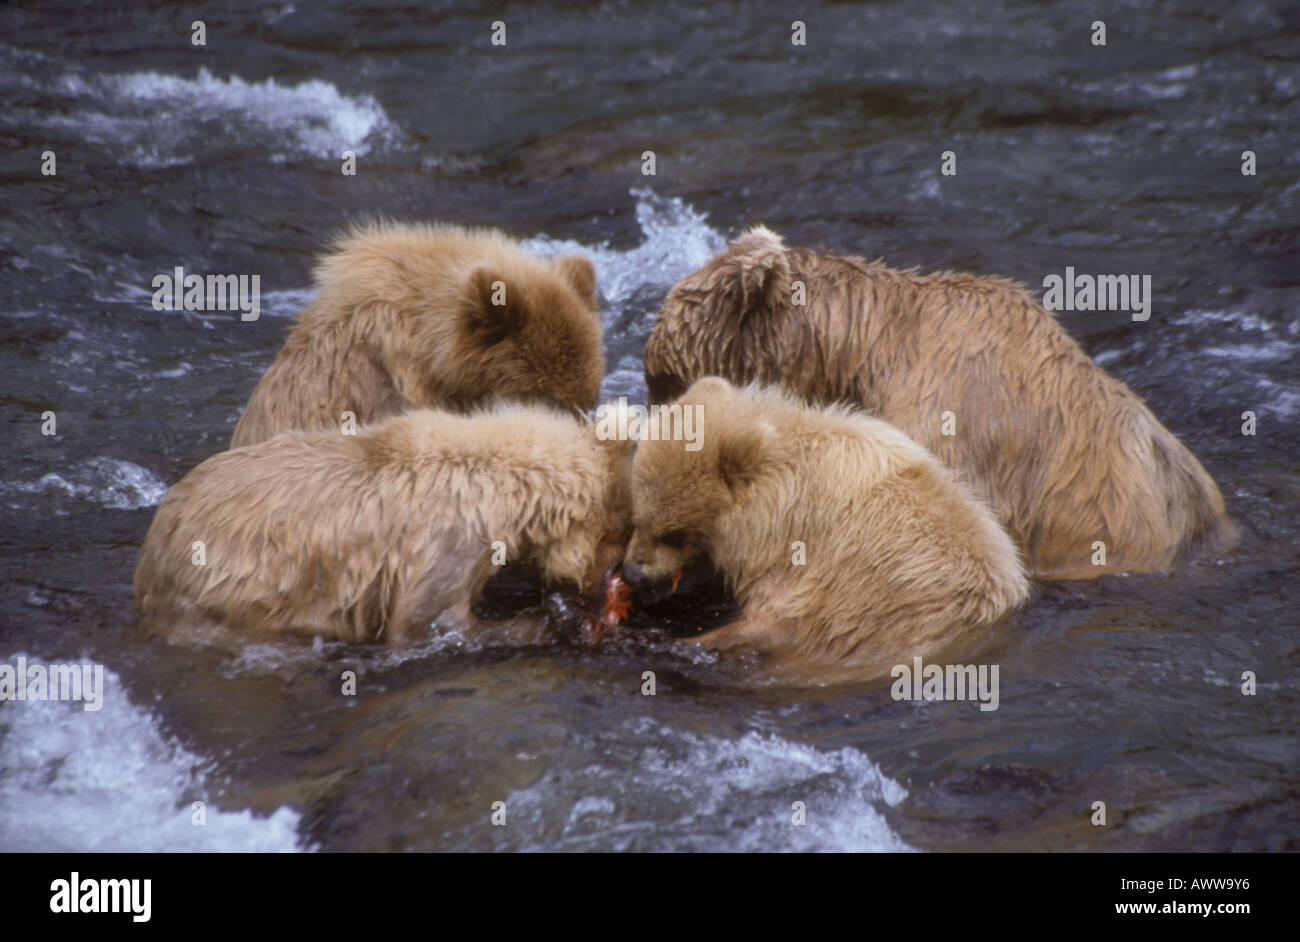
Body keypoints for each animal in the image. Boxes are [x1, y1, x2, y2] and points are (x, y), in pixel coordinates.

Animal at [136, 403, 633, 644]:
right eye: (616, 539)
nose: (600, 589)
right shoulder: (450, 541)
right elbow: (428, 624)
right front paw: (555, 620)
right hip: (226, 592)